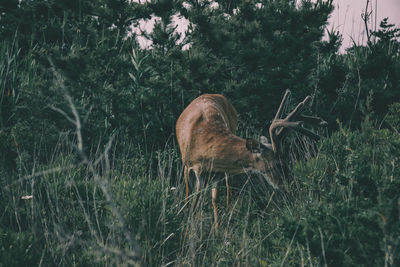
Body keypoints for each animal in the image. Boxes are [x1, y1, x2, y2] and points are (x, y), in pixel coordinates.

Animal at [177, 90, 326, 232]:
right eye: (279, 164)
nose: (290, 184)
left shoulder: (217, 172)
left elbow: (213, 201)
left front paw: (216, 234)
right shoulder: (187, 166)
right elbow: (190, 201)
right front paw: (186, 232)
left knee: (223, 195)